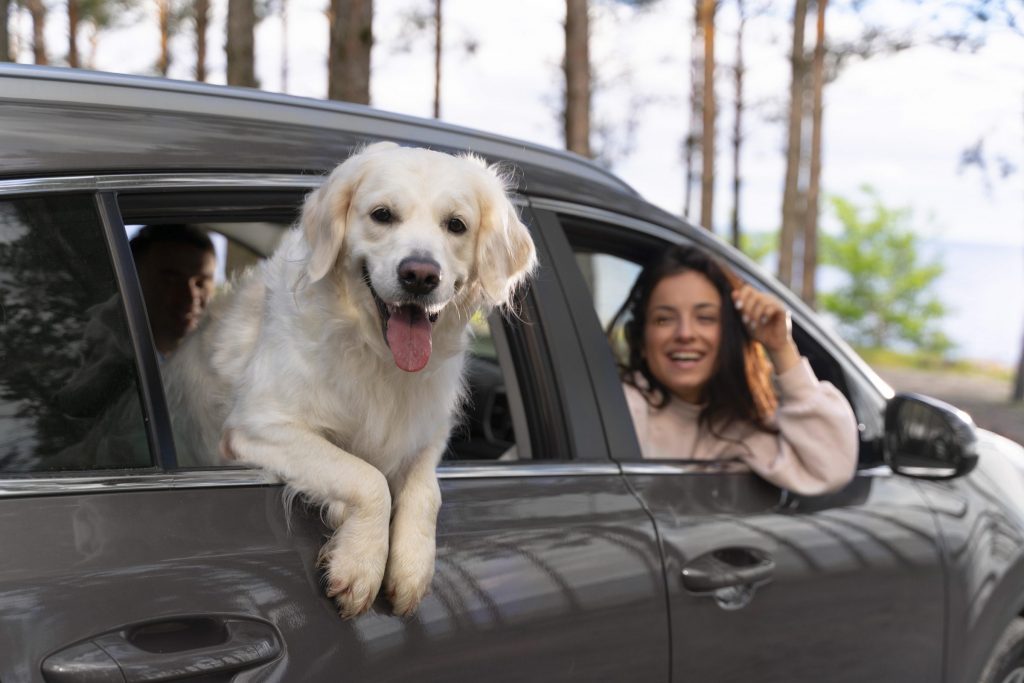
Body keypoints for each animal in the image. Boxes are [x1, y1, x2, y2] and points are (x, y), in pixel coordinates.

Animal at [159, 144, 536, 618]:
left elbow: (426, 491)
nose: (420, 275)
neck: (376, 355)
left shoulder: (427, 434)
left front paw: (412, 566)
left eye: (456, 225)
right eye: (382, 215)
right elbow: (366, 477)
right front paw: (360, 562)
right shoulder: (256, 426)